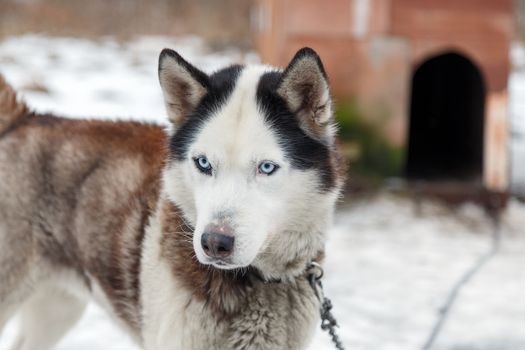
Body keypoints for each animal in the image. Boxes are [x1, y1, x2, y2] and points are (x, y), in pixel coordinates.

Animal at [0, 47, 344, 350]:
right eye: (203, 163)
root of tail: (26, 119)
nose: (215, 243)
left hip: (58, 308)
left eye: (267, 167)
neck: (255, 281)